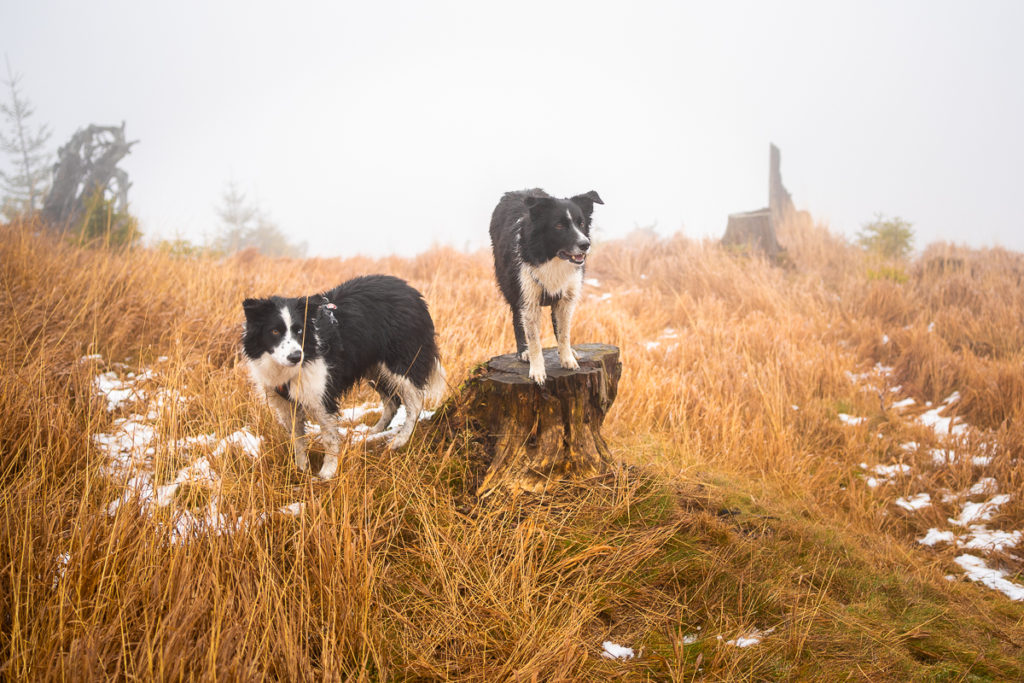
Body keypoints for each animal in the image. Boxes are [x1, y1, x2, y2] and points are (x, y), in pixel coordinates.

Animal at [243, 274, 448, 479]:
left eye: (299, 330)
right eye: (275, 331)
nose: (295, 356)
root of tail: (413, 294)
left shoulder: (321, 395)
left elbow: (329, 438)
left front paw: (327, 472)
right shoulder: (284, 402)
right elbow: (297, 438)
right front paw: (301, 469)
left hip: (400, 361)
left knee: (415, 402)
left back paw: (400, 440)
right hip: (373, 367)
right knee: (392, 401)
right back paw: (374, 432)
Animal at [489, 188, 602, 385]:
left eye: (581, 223)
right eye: (559, 226)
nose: (585, 245)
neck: (552, 257)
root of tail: (516, 191)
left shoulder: (566, 299)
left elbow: (564, 333)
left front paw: (567, 359)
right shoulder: (529, 301)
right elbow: (535, 341)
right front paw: (537, 371)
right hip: (512, 287)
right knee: (517, 320)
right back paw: (523, 351)